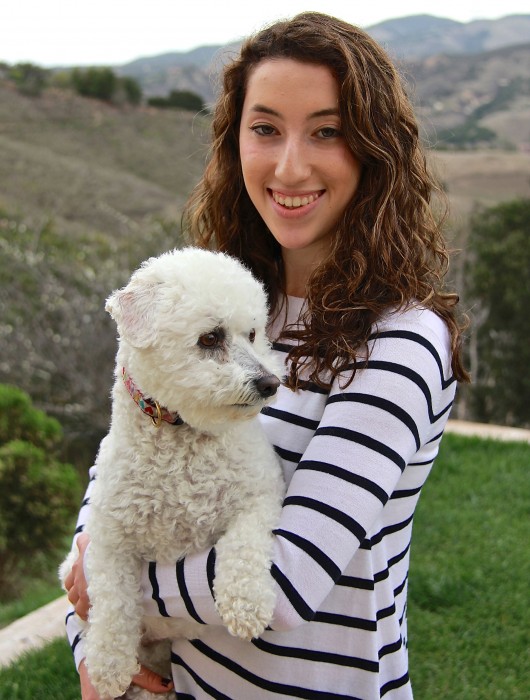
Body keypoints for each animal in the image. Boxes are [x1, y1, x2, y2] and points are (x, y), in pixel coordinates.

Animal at [59, 250, 284, 700]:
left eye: (252, 333)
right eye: (211, 338)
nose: (270, 383)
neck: (183, 440)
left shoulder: (262, 494)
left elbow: (244, 543)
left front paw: (247, 604)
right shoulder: (106, 538)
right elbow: (110, 597)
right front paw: (107, 666)